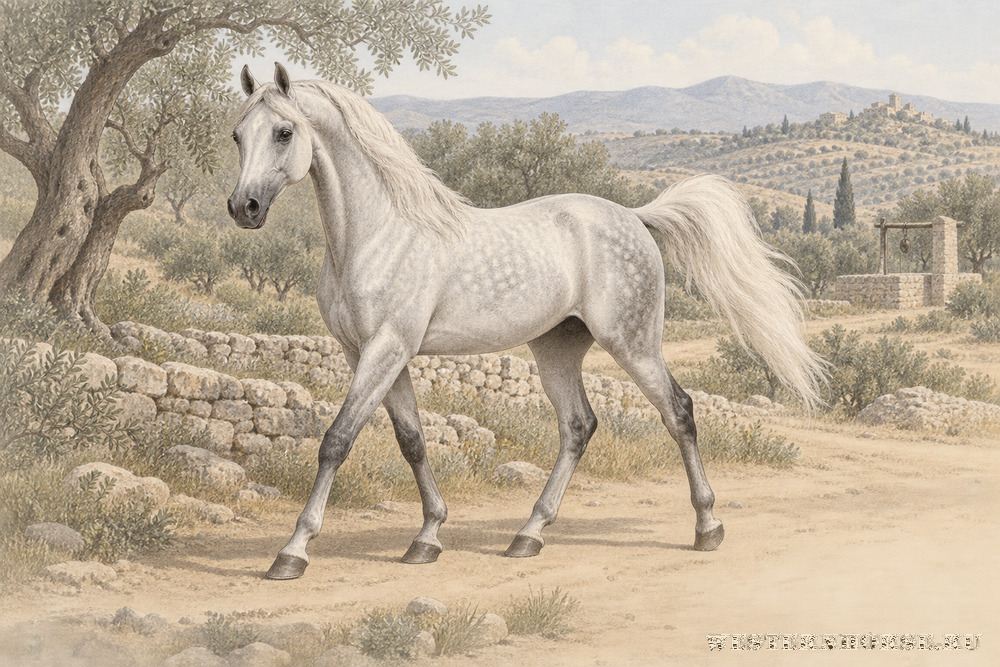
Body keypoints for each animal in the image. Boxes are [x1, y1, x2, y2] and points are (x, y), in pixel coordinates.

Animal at [228, 63, 825, 580]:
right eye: (237, 135)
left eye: (284, 132)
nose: (244, 208)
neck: (377, 235)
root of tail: (634, 217)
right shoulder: (371, 352)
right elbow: (412, 440)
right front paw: (427, 539)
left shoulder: (386, 348)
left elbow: (337, 440)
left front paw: (292, 552)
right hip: (556, 348)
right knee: (578, 426)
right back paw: (528, 535)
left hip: (632, 342)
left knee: (678, 411)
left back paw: (707, 527)